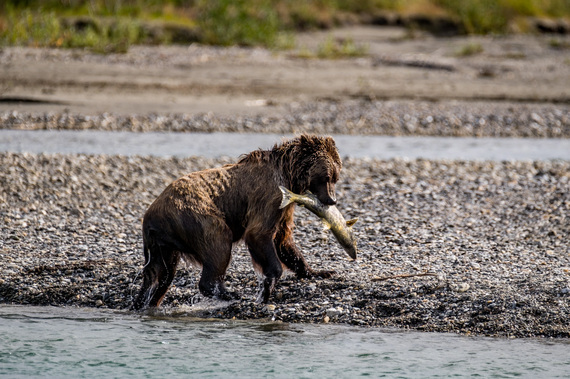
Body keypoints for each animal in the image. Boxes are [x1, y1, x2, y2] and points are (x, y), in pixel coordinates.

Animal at [131, 135, 340, 310]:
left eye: (335, 177)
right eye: (326, 177)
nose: (332, 200)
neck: (289, 174)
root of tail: (150, 216)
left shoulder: (285, 206)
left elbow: (283, 240)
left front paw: (319, 271)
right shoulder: (270, 195)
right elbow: (259, 233)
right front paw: (268, 285)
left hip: (163, 243)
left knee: (161, 274)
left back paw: (145, 302)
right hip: (193, 215)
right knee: (218, 242)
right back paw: (229, 293)